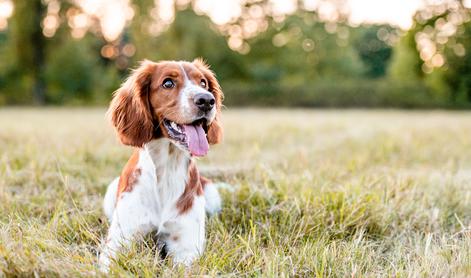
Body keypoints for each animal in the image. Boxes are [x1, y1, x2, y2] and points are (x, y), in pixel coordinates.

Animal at [98, 59, 224, 272]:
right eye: (168, 83)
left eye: (203, 83)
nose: (207, 100)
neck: (167, 169)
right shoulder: (118, 242)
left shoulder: (186, 247)